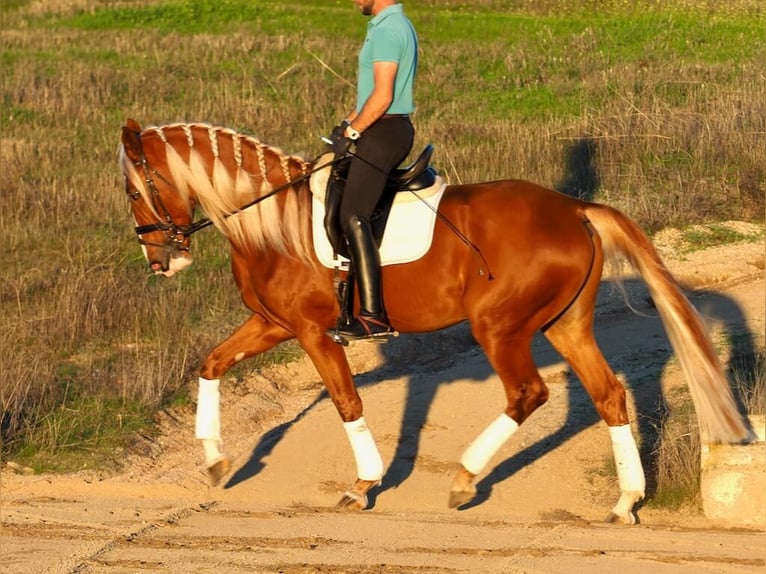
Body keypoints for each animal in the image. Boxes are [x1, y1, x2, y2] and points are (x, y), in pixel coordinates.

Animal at [117, 119, 752, 524]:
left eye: (134, 189)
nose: (160, 261)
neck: (276, 220)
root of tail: (574, 210)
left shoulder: (312, 332)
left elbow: (346, 401)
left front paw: (364, 486)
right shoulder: (273, 324)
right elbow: (211, 365)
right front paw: (215, 461)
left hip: (500, 327)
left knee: (527, 393)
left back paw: (466, 478)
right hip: (565, 325)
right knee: (608, 394)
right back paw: (625, 502)